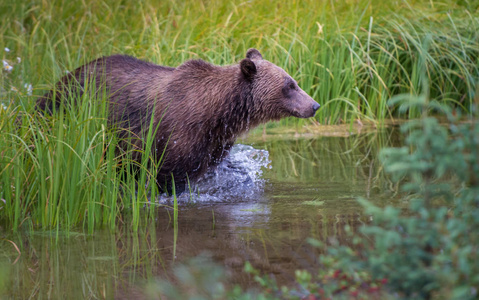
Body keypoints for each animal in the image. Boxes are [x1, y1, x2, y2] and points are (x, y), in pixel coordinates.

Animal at [36, 47, 322, 192]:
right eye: (290, 86)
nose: (314, 105)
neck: (219, 114)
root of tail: (66, 77)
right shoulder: (175, 133)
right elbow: (168, 176)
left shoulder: (215, 142)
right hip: (68, 106)